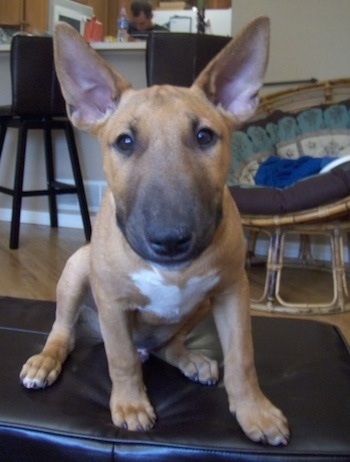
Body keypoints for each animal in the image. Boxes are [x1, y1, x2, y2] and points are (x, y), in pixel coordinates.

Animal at [20, 19, 290, 446]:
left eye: (204, 136)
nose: (171, 240)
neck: (170, 270)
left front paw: (256, 413)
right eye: (125, 141)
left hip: (199, 307)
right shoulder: (113, 303)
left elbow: (242, 357)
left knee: (169, 345)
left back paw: (190, 359)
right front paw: (131, 406)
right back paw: (45, 361)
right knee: (65, 331)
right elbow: (121, 359)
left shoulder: (233, 290)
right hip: (78, 270)